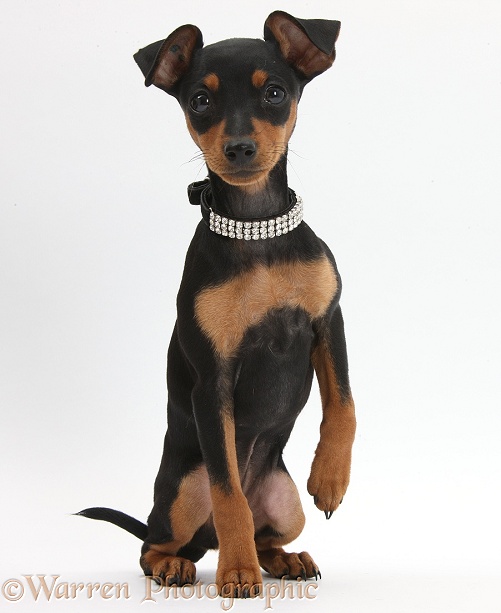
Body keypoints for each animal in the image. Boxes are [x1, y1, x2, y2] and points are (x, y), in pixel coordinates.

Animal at [77, 10, 356, 596]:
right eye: (200, 101)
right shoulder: (214, 380)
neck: (256, 228)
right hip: (184, 489)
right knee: (159, 541)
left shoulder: (329, 322)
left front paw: (331, 478)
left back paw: (286, 559)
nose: (240, 148)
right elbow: (229, 494)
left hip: (285, 503)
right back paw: (184, 564)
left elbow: (344, 404)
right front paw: (236, 573)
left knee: (266, 530)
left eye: (275, 93)